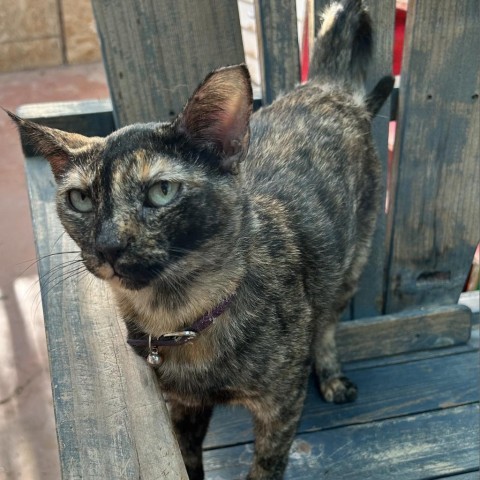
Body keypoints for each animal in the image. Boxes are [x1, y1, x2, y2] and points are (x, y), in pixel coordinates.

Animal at [10, 1, 394, 478]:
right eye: (80, 199)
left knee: (326, 325)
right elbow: (186, 457)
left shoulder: (281, 407)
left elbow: (266, 465)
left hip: (351, 265)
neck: (177, 318)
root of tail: (326, 86)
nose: (108, 245)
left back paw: (332, 376)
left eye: (161, 191)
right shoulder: (183, 406)